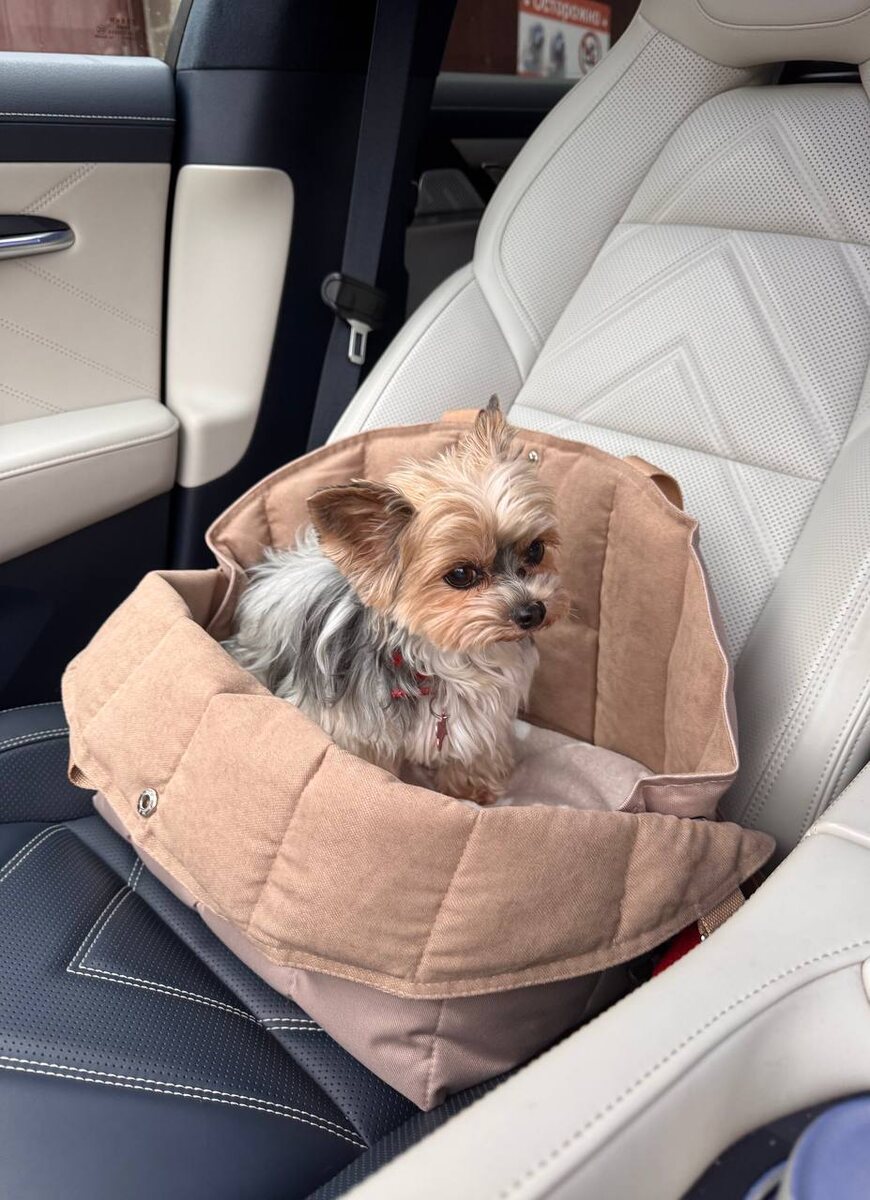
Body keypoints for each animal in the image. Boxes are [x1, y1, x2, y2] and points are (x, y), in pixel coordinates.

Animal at [224, 399, 568, 804]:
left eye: (536, 549)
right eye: (461, 574)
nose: (532, 611)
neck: (448, 658)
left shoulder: (484, 715)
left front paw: (473, 789)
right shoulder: (357, 730)